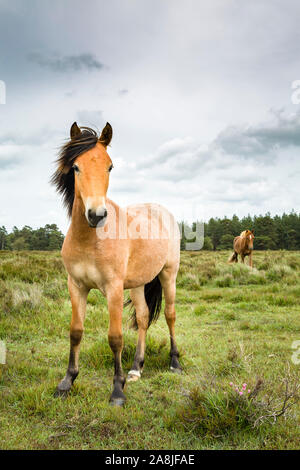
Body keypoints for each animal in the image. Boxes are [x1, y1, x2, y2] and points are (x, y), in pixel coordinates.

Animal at [51, 123, 180, 406]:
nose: (96, 215)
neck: (90, 239)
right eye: (75, 167)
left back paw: (175, 362)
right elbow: (75, 331)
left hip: (168, 275)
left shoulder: (113, 288)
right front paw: (67, 382)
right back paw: (136, 368)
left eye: (110, 166)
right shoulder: (76, 286)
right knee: (143, 318)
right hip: (139, 283)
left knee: (170, 315)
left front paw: (117, 391)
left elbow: (115, 338)